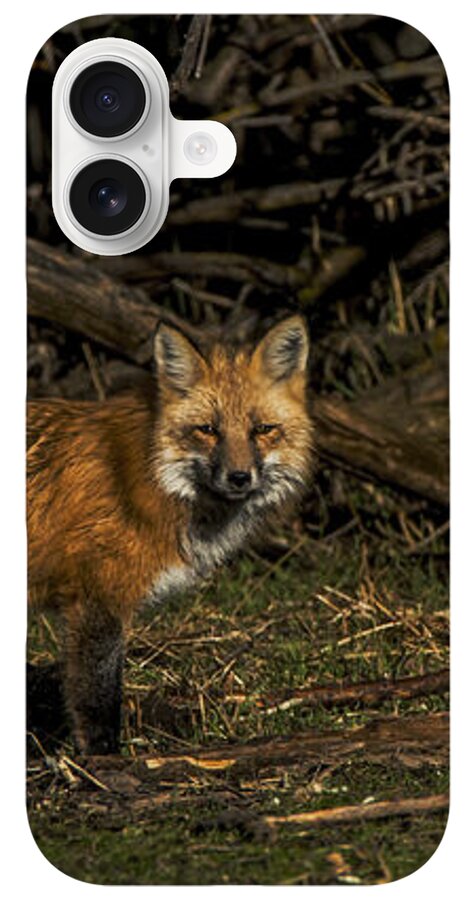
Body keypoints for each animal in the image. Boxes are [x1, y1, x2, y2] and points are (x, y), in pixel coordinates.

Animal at [27, 315, 313, 754]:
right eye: (208, 430)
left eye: (262, 429)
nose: (239, 477)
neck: (150, 476)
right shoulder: (97, 602)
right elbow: (98, 699)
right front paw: (103, 760)